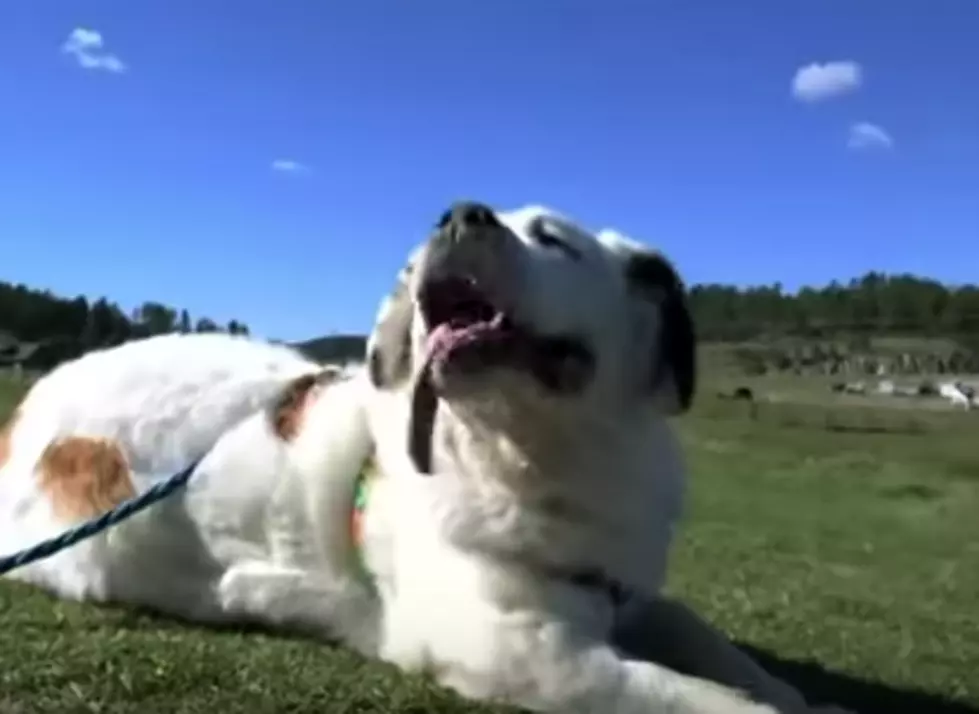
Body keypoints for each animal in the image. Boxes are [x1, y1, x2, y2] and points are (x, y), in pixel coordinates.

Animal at [0, 202, 844, 712]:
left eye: (553, 239)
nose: (460, 213)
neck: (542, 454)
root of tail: (29, 407)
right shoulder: (522, 648)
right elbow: (707, 699)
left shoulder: (626, 588)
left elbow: (719, 649)